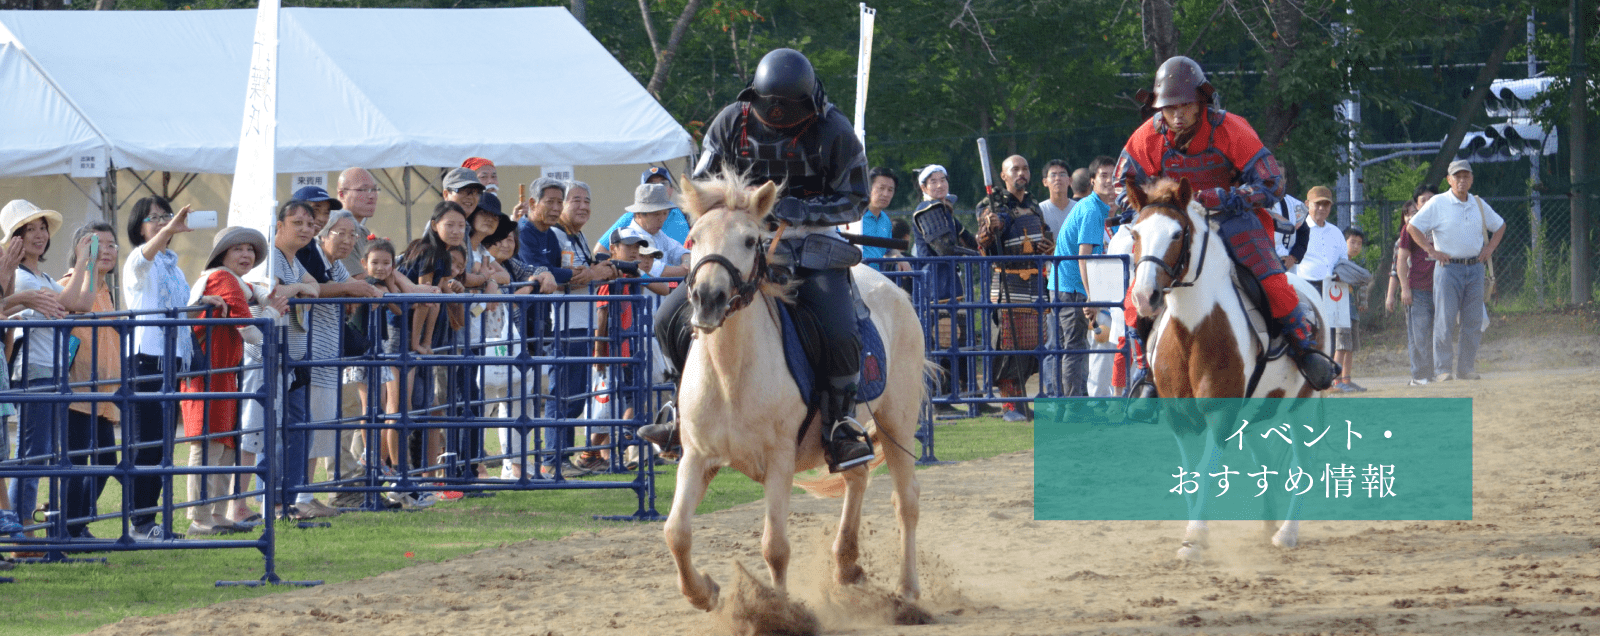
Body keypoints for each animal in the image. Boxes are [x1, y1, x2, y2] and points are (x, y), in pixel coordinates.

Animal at [662, 171, 934, 620]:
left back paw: (908, 592)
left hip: (898, 418)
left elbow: (775, 546)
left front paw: (778, 612)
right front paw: (705, 592)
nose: (708, 299)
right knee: (857, 476)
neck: (731, 374)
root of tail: (895, 290)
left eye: (750, 240)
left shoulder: (779, 460)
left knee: (907, 501)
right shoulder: (697, 456)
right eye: (693, 238)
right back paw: (846, 564)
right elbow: (676, 532)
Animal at [1120, 176, 1318, 559]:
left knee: (1303, 466)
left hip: (1302, 407)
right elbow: (1189, 472)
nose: (1145, 296)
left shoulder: (1220, 413)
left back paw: (1287, 532)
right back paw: (1269, 523)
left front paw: (1195, 536)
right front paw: (1196, 533)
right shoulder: (1179, 419)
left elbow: (1206, 468)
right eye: (1135, 233)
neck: (1194, 330)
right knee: (1267, 461)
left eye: (1177, 234)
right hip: (1254, 415)